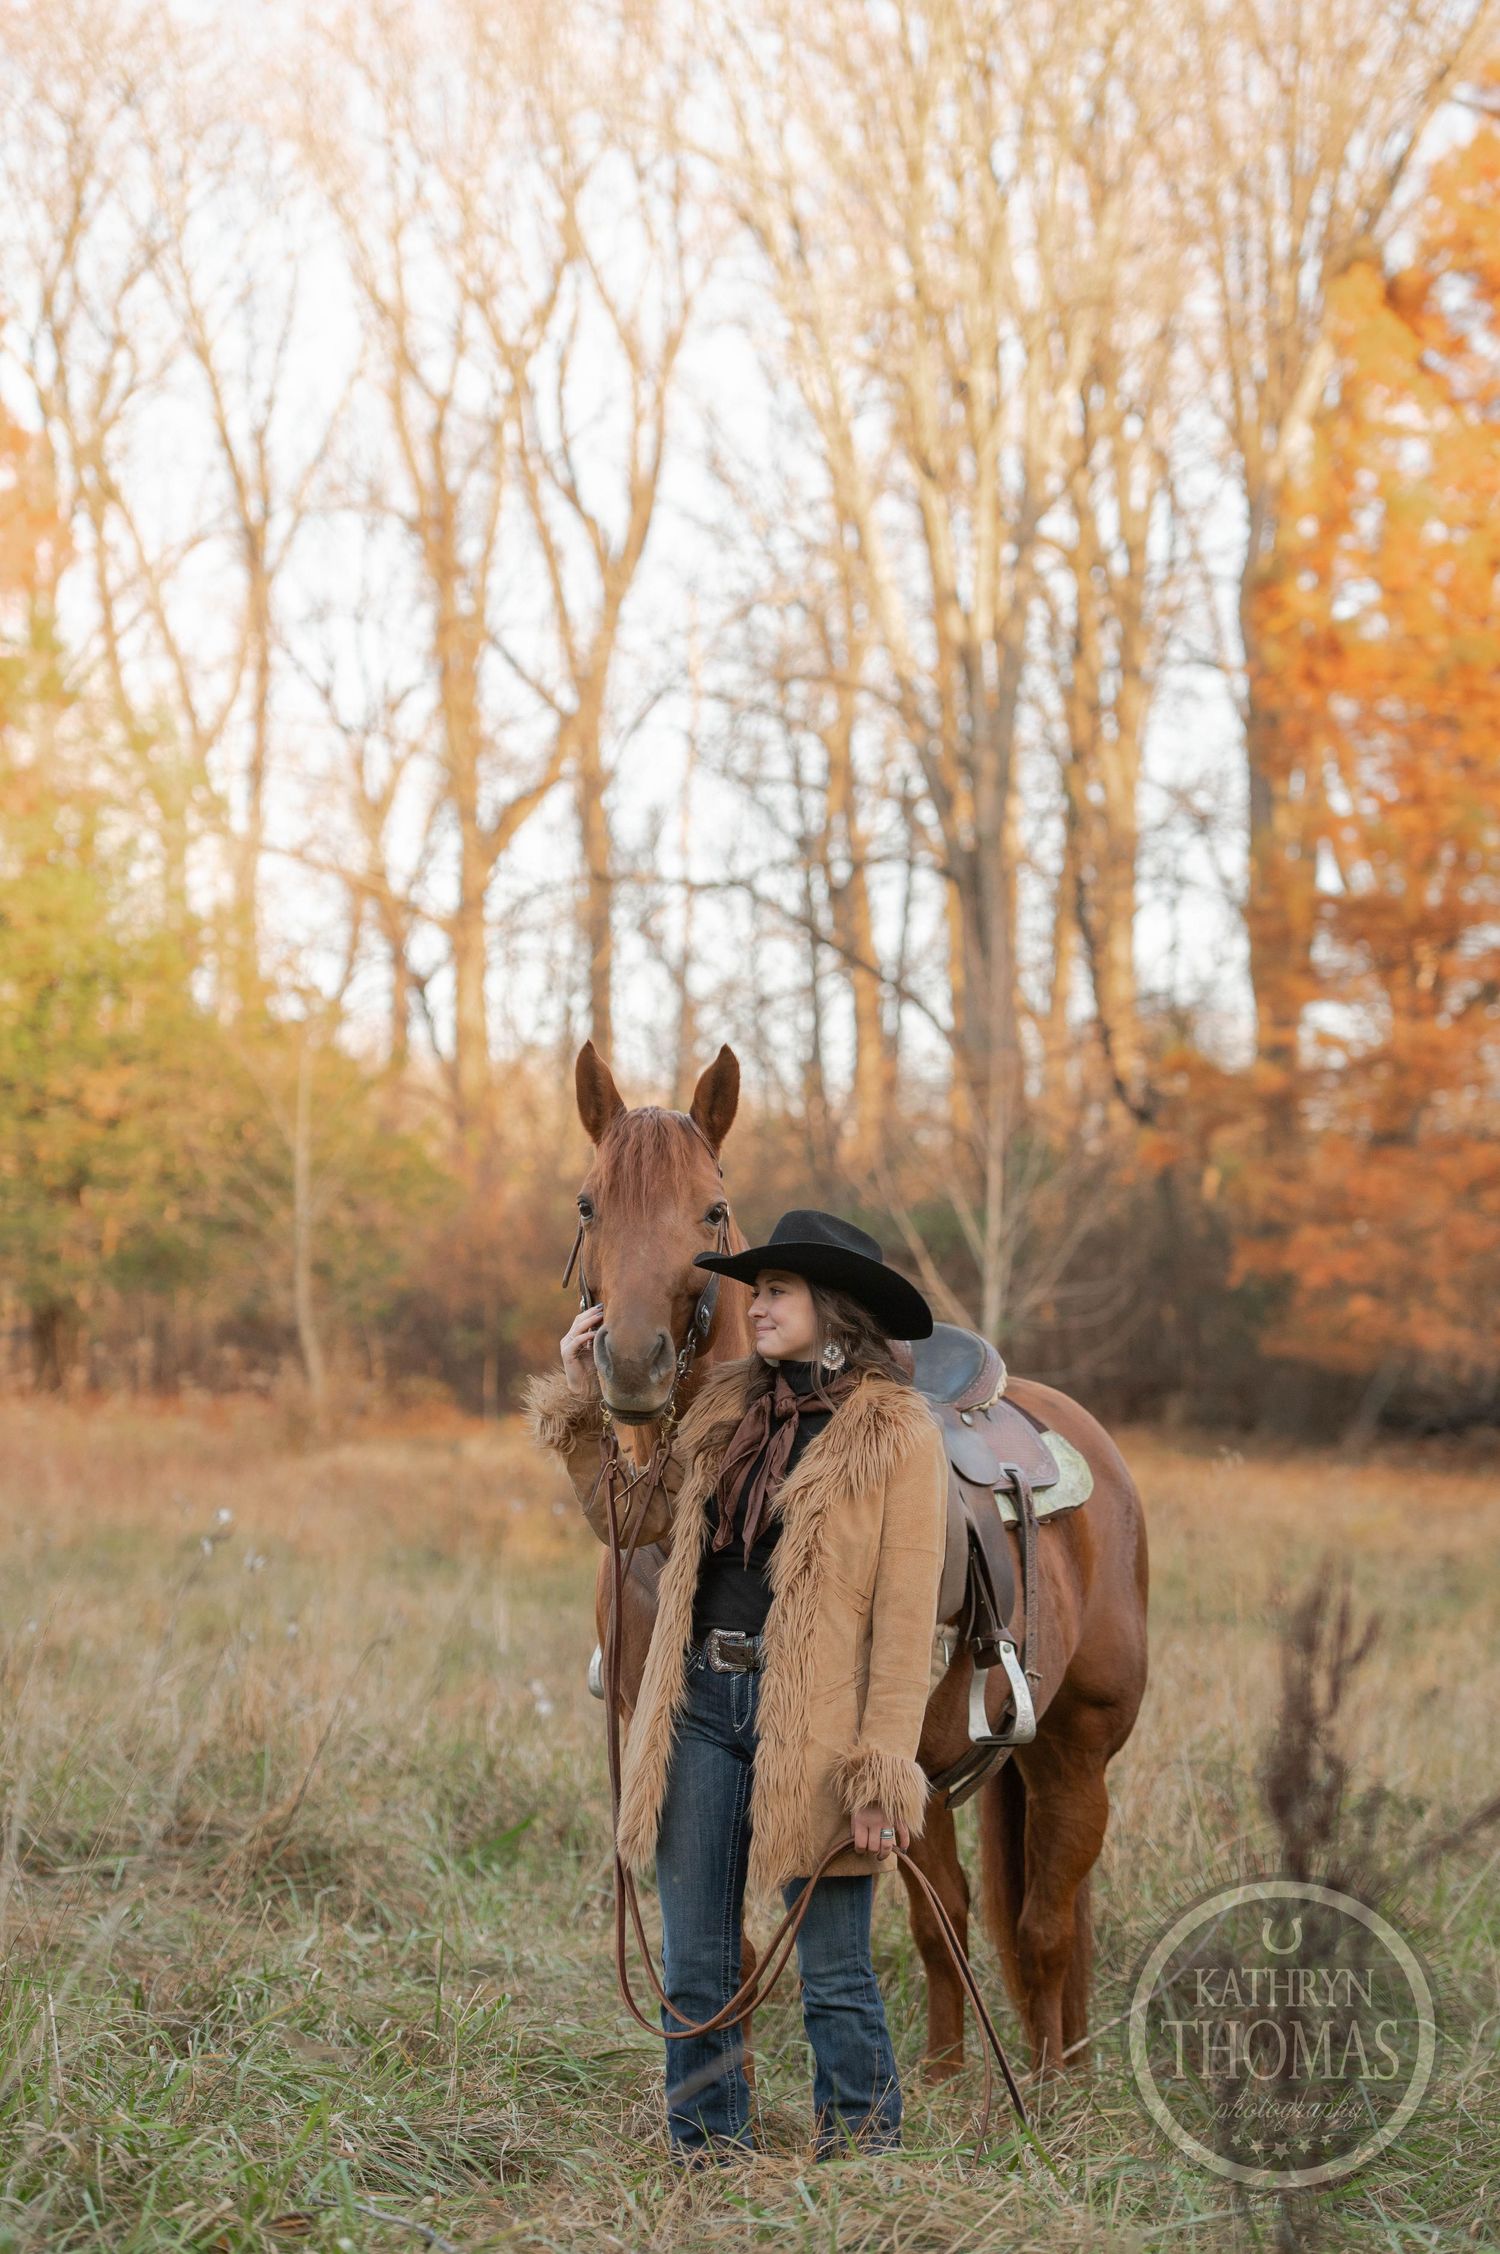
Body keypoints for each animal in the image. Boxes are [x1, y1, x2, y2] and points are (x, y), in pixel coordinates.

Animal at [563, 1036, 1149, 2078]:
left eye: (712, 1211)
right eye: (591, 1204)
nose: (631, 1364)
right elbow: (728, 1948)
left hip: (1075, 1750)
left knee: (1047, 1926)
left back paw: (1053, 2085)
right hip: (934, 1772)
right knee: (952, 1919)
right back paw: (950, 2077)